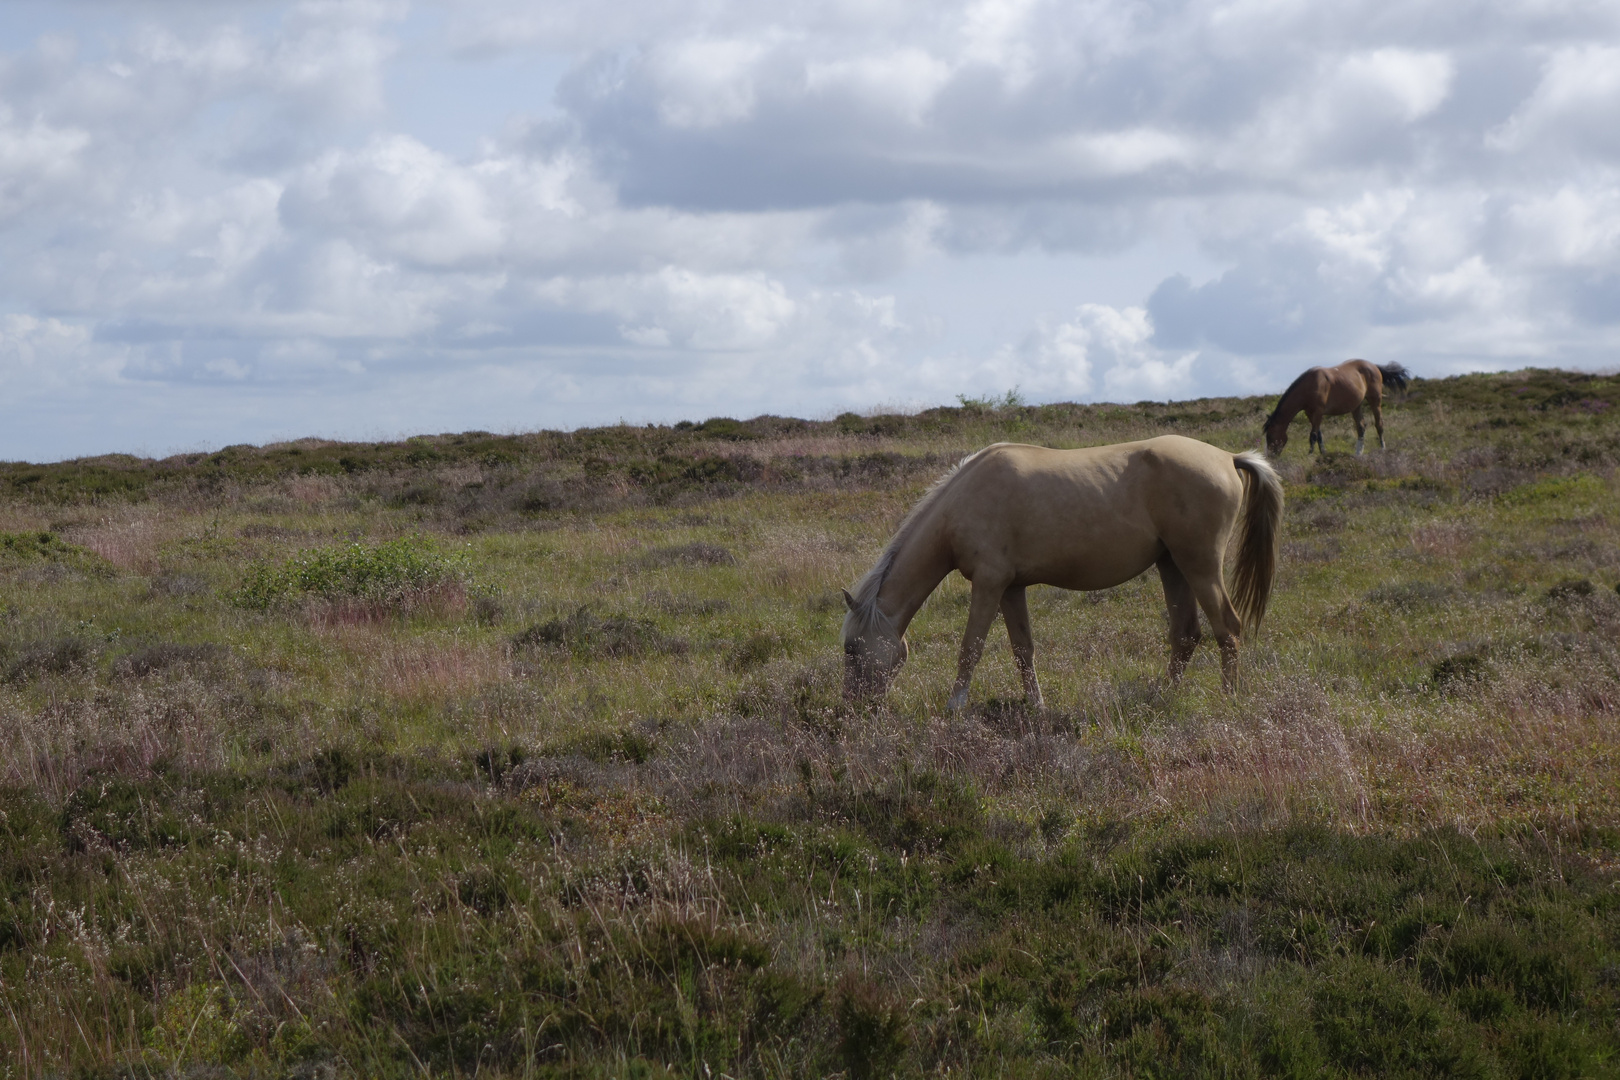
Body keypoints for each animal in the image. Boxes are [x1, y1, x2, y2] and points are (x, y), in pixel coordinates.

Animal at [842, 433, 1283, 712]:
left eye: (852, 649)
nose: (853, 708)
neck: (963, 501)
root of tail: (1227, 458)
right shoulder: (1010, 588)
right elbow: (1023, 650)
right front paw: (1035, 705)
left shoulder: (988, 583)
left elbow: (971, 647)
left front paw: (955, 706)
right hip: (1172, 564)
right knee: (1186, 634)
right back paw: (1163, 698)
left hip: (1199, 565)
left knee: (1228, 628)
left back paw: (1227, 700)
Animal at [1263, 356, 1406, 453]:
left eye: (1270, 436)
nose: (1270, 456)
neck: (1309, 386)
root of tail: (1374, 366)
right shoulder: (1310, 413)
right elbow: (1319, 435)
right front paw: (1323, 454)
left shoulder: (1318, 412)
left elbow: (1313, 435)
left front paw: (1310, 455)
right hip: (1356, 406)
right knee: (1361, 428)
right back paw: (1358, 453)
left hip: (1375, 400)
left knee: (1379, 424)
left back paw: (1382, 449)